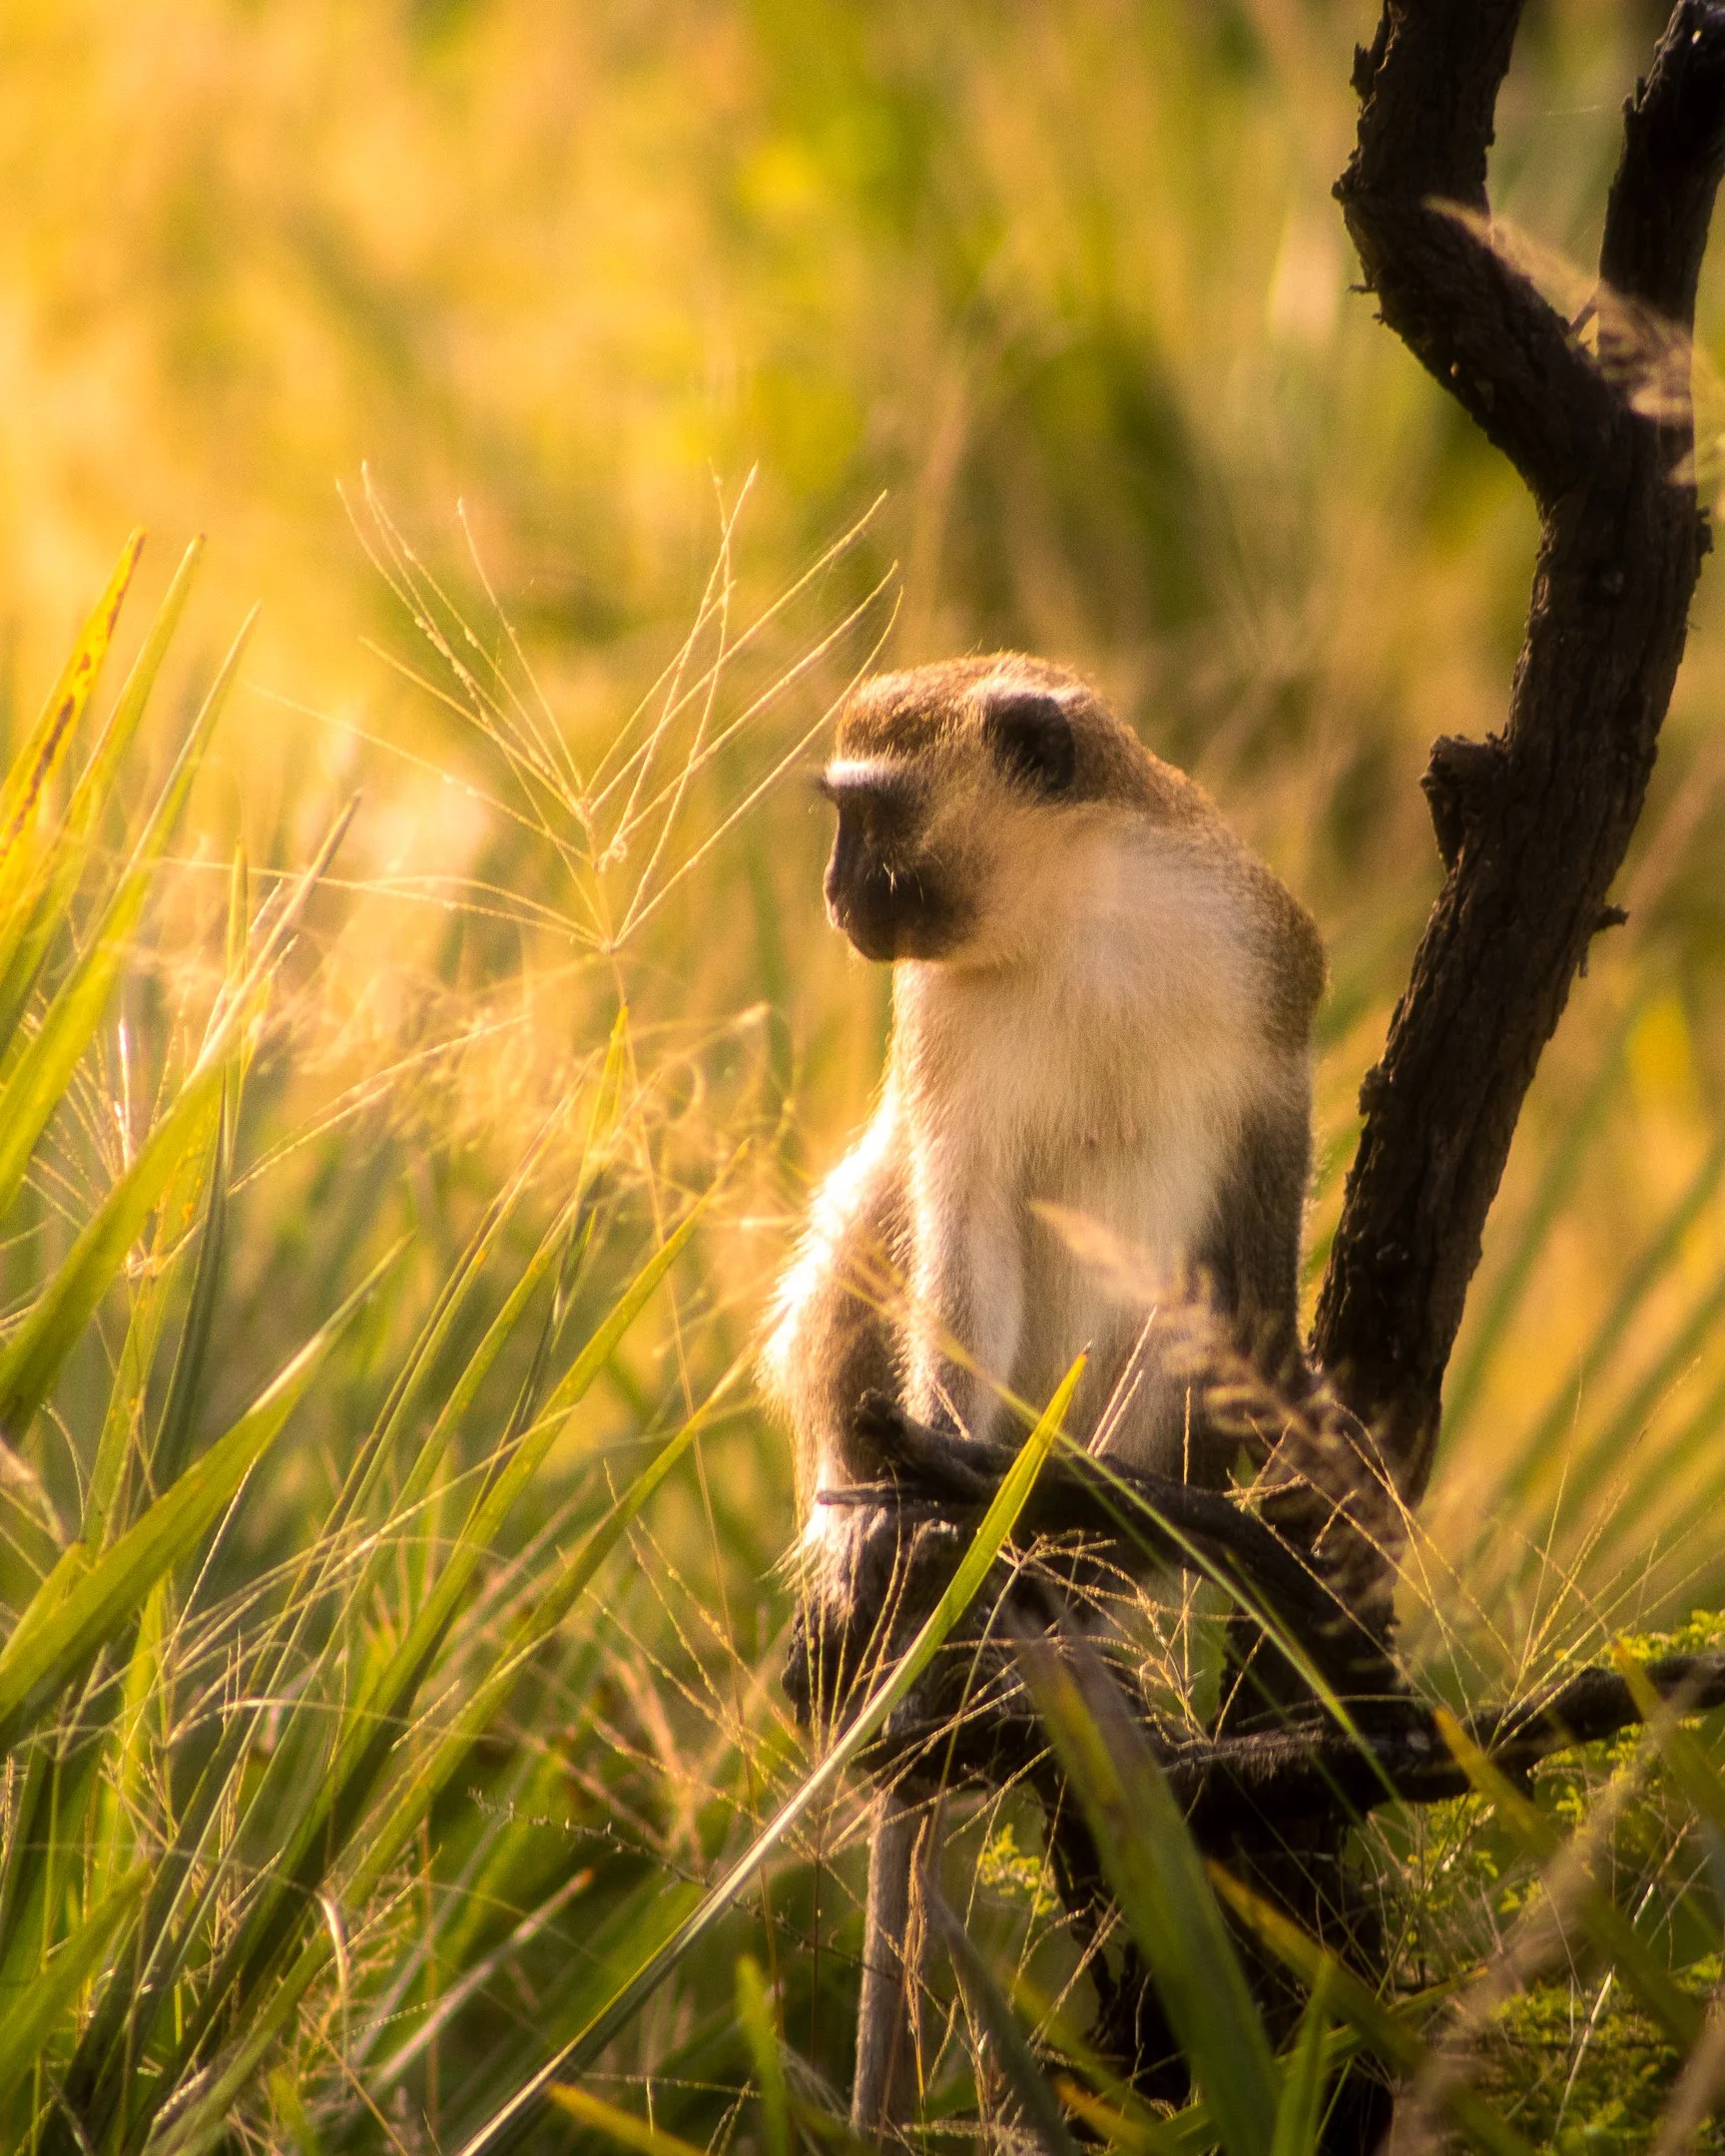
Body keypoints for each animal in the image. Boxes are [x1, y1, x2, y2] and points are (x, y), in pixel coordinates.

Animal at [759, 652, 1326, 2135]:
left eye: (869, 816)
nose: (832, 896)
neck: (1076, 910)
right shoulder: (942, 1015)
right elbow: (959, 1225)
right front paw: (943, 1506)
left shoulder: (1254, 965)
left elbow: (1209, 1254)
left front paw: (1070, 1528)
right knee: (880, 1202)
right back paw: (899, 1527)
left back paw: (1064, 1561)